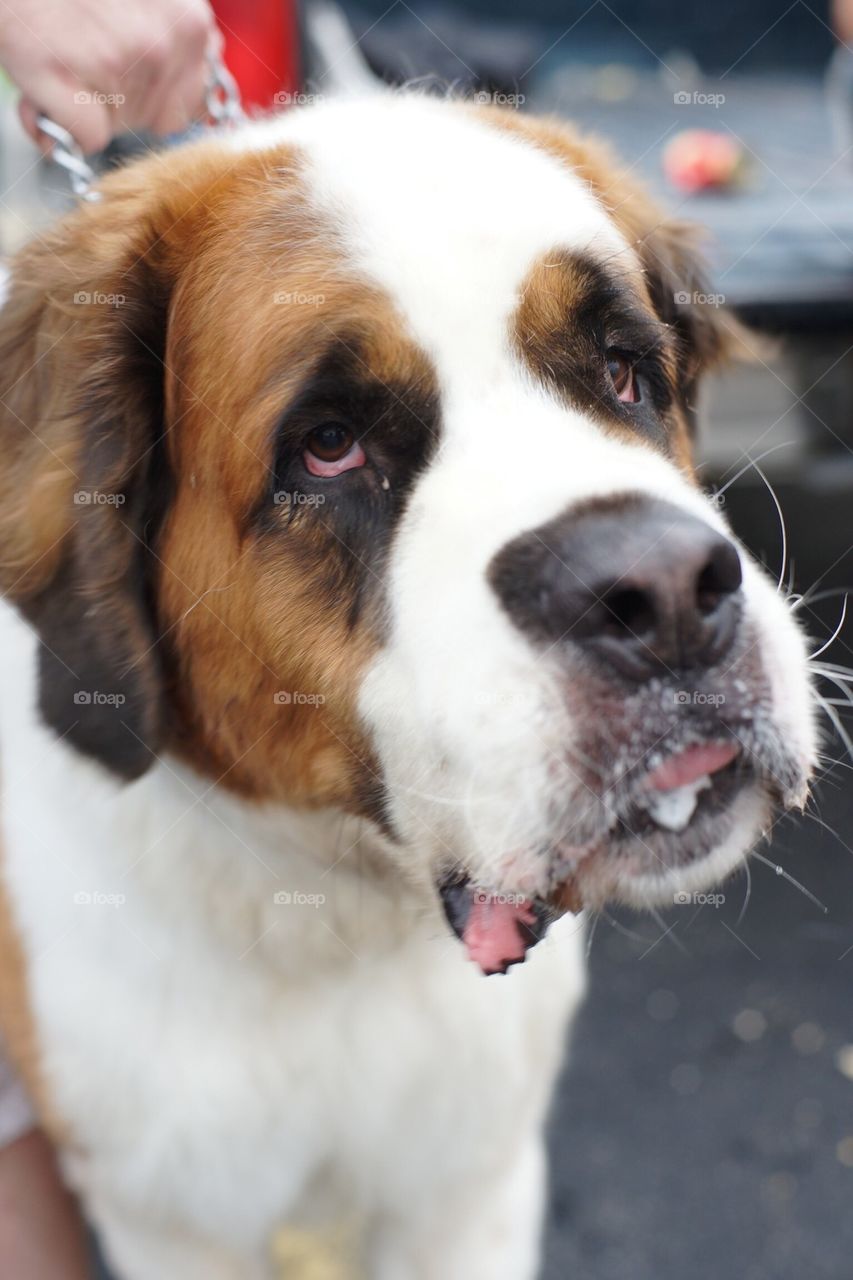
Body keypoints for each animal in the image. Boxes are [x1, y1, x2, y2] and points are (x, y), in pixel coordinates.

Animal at [0, 92, 814, 1280]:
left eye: (624, 372)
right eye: (329, 447)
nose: (662, 591)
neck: (338, 912)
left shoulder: (472, 1187)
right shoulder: (170, 1217)